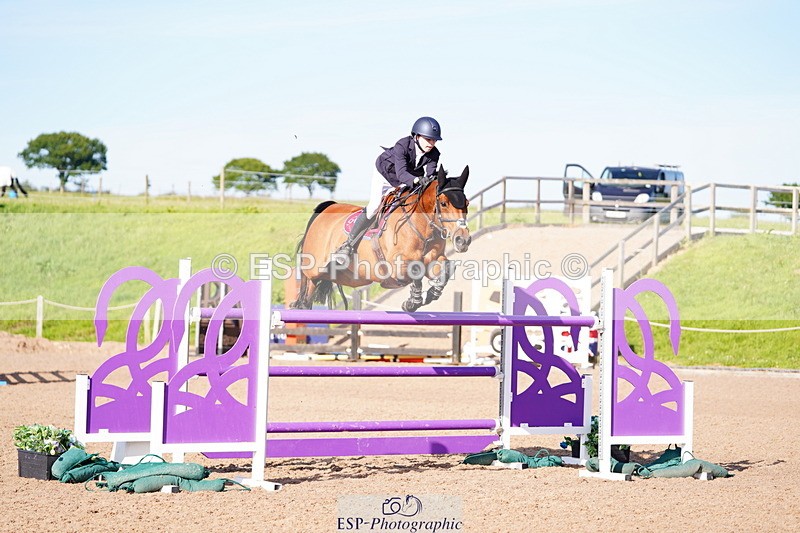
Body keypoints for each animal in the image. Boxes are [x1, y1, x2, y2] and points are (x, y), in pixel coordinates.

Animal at [291, 166, 471, 312]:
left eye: (467, 203)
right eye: (444, 203)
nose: (463, 240)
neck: (423, 227)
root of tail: (327, 207)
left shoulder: (434, 259)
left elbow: (447, 268)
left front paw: (431, 294)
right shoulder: (397, 264)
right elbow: (415, 270)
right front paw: (412, 302)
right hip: (314, 269)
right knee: (306, 290)